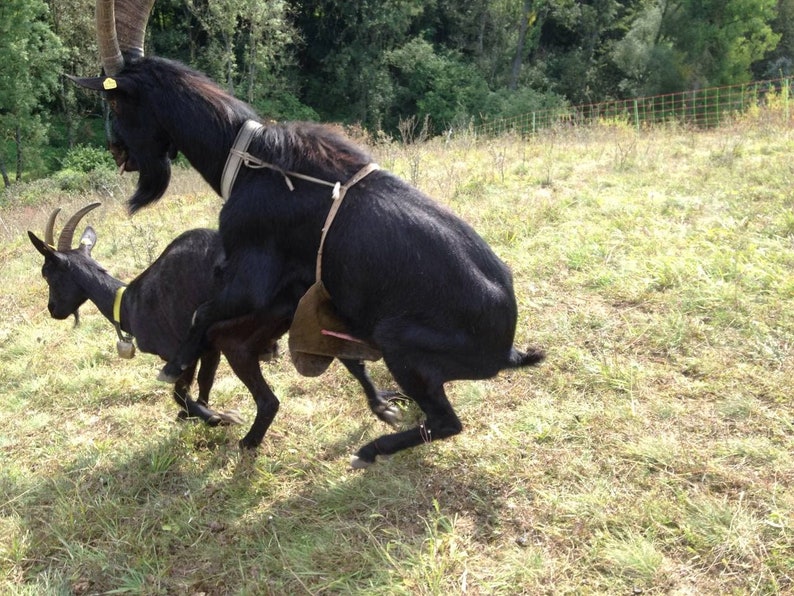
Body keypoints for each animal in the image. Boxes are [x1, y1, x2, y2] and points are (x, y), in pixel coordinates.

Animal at [27, 205, 400, 448]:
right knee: (353, 359)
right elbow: (202, 388)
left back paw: (247, 442)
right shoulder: (209, 352)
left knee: (269, 401)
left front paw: (215, 418)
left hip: (237, 339)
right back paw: (384, 404)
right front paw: (202, 414)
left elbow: (179, 392)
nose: (53, 309)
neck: (129, 302)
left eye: (48, 273)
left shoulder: (182, 353)